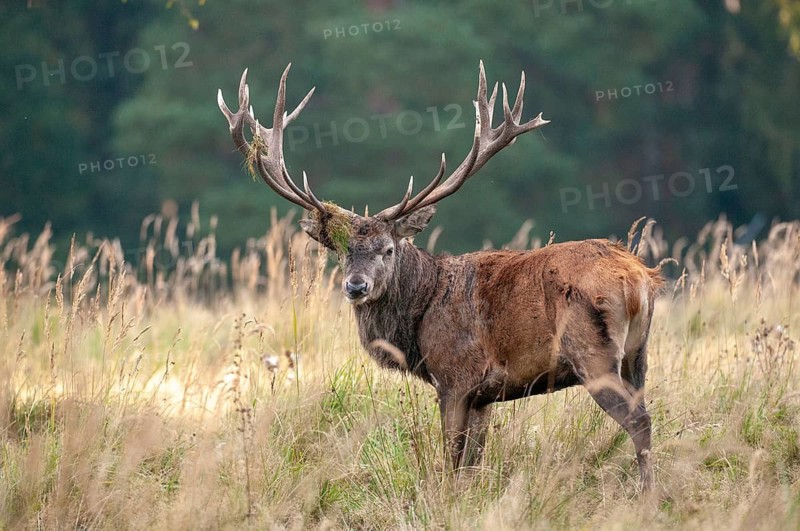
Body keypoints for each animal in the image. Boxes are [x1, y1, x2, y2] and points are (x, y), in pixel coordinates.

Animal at [217, 62, 663, 492]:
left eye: (388, 249)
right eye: (342, 252)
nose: (356, 286)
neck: (420, 318)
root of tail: (641, 279)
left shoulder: (455, 377)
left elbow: (451, 459)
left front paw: (446, 501)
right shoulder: (485, 396)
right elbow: (473, 463)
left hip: (593, 353)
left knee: (638, 420)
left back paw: (647, 496)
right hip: (637, 355)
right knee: (645, 410)